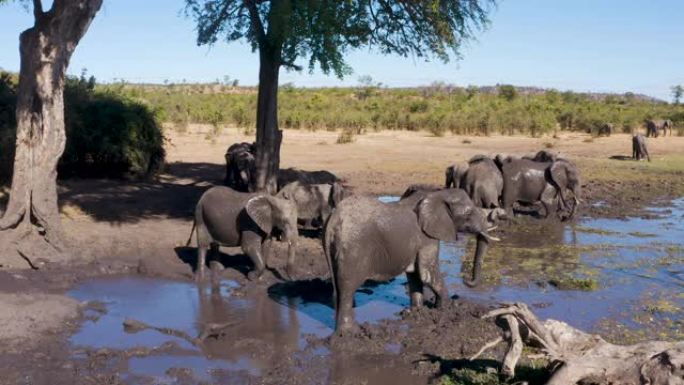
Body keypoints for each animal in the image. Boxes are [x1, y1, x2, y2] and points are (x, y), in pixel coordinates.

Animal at [324, 188, 504, 332]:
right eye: (468, 213)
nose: (466, 280)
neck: (438, 194)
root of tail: (333, 219)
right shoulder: (426, 237)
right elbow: (427, 273)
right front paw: (446, 309)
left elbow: (415, 275)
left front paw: (417, 312)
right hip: (353, 249)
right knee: (347, 287)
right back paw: (352, 332)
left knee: (338, 288)